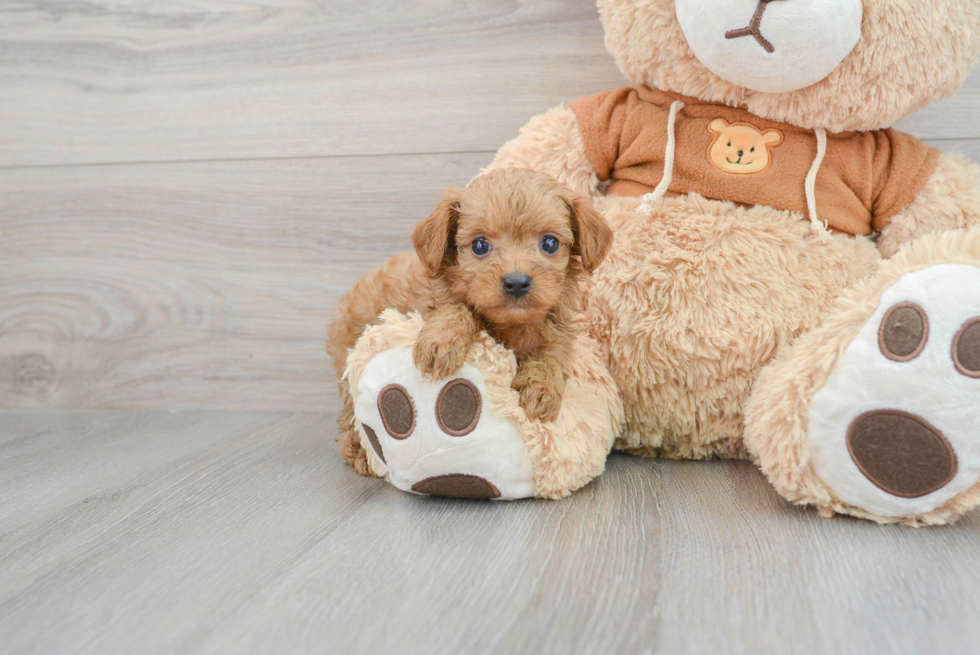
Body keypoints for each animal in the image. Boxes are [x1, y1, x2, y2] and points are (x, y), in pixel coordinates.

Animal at [326, 168, 608, 476]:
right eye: (480, 245)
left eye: (550, 243)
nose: (516, 282)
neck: (510, 325)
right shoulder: (433, 303)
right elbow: (459, 308)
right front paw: (440, 344)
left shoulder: (556, 330)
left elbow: (552, 355)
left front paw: (542, 388)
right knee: (351, 411)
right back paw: (357, 448)